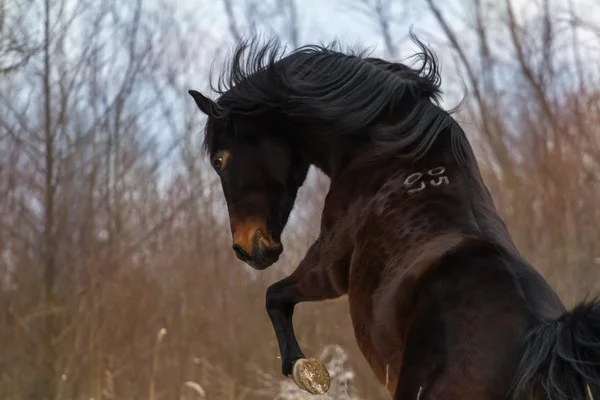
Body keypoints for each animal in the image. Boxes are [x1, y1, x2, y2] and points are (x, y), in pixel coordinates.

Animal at [189, 35, 600, 400]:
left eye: (219, 159)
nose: (246, 249)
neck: (387, 152)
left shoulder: (329, 266)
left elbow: (274, 296)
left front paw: (306, 371)